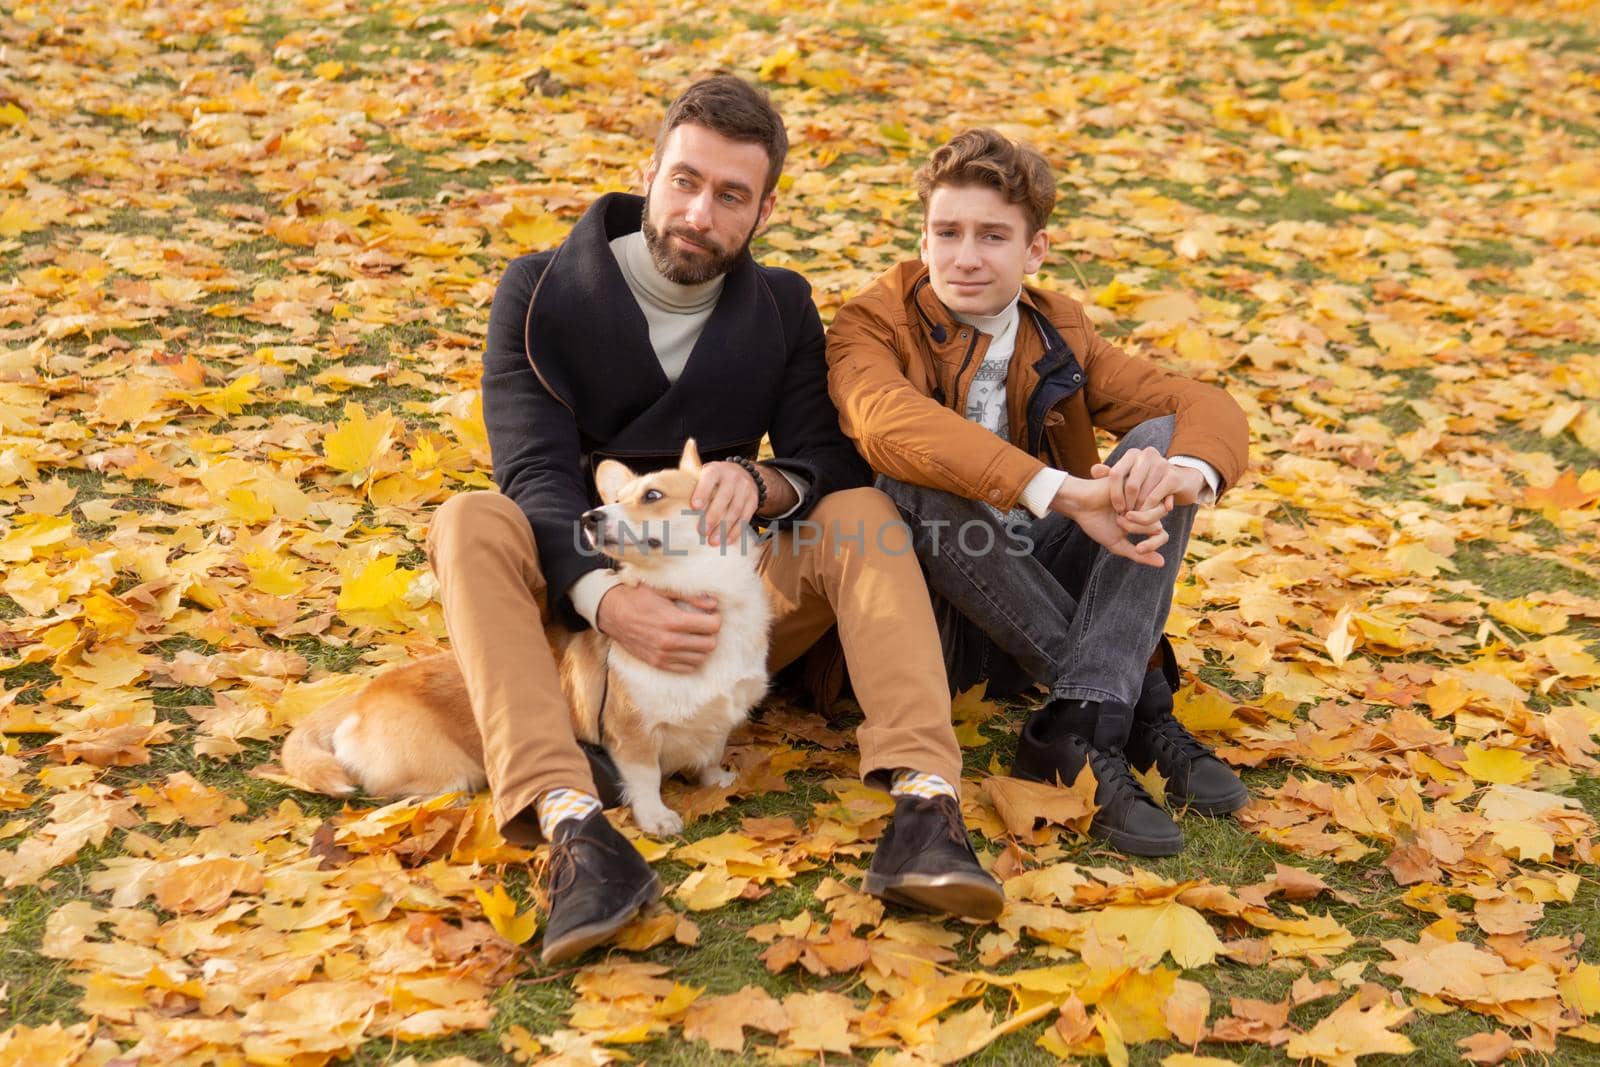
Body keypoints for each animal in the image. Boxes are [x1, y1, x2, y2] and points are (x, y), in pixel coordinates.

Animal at [286, 441, 774, 831]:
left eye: (652, 495)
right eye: (615, 499)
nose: (590, 516)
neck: (695, 593)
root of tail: (361, 698)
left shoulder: (717, 723)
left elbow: (710, 755)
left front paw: (718, 781)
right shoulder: (631, 735)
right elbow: (646, 779)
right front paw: (656, 818)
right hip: (450, 771)